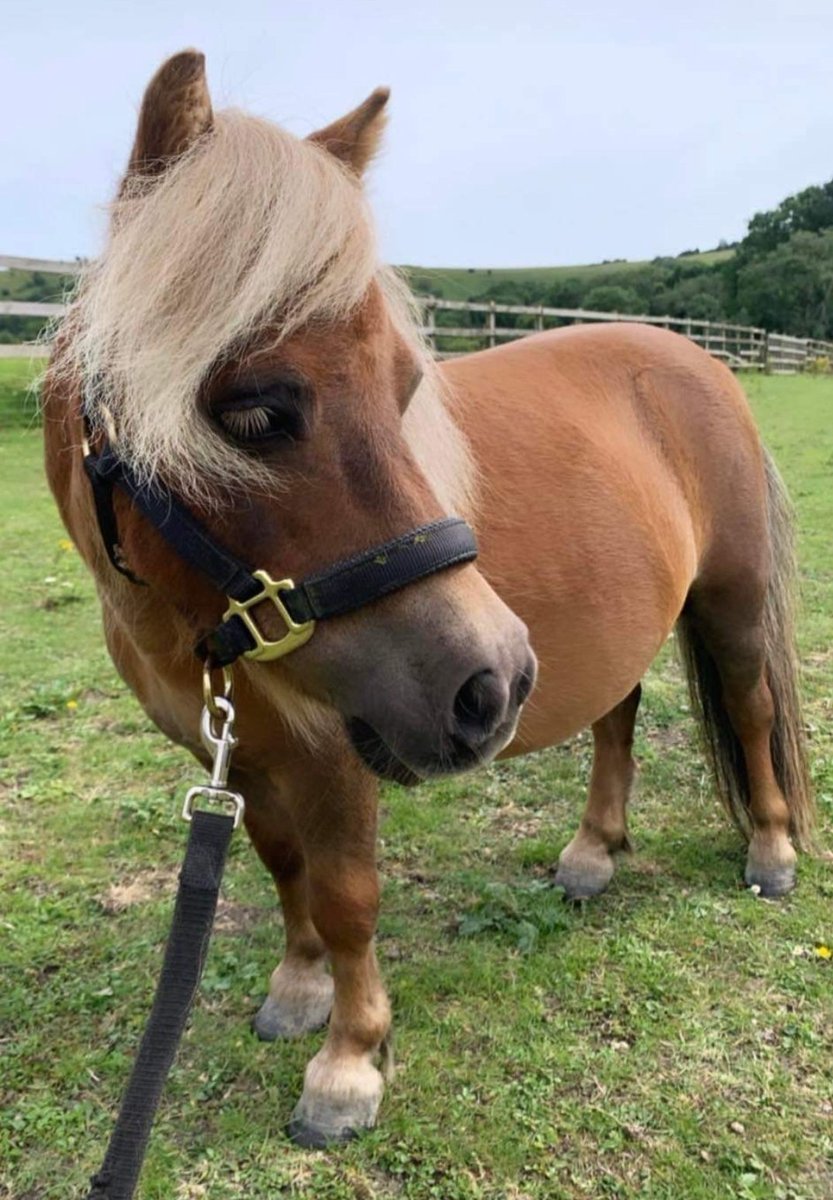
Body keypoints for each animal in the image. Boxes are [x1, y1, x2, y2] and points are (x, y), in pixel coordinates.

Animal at [40, 51, 816, 1147]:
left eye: (405, 385)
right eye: (255, 411)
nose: (489, 681)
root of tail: (693, 357)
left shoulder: (336, 755)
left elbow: (346, 896)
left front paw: (347, 1065)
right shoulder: (234, 756)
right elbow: (282, 868)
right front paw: (297, 990)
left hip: (731, 603)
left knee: (747, 715)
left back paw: (769, 850)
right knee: (615, 718)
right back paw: (592, 854)